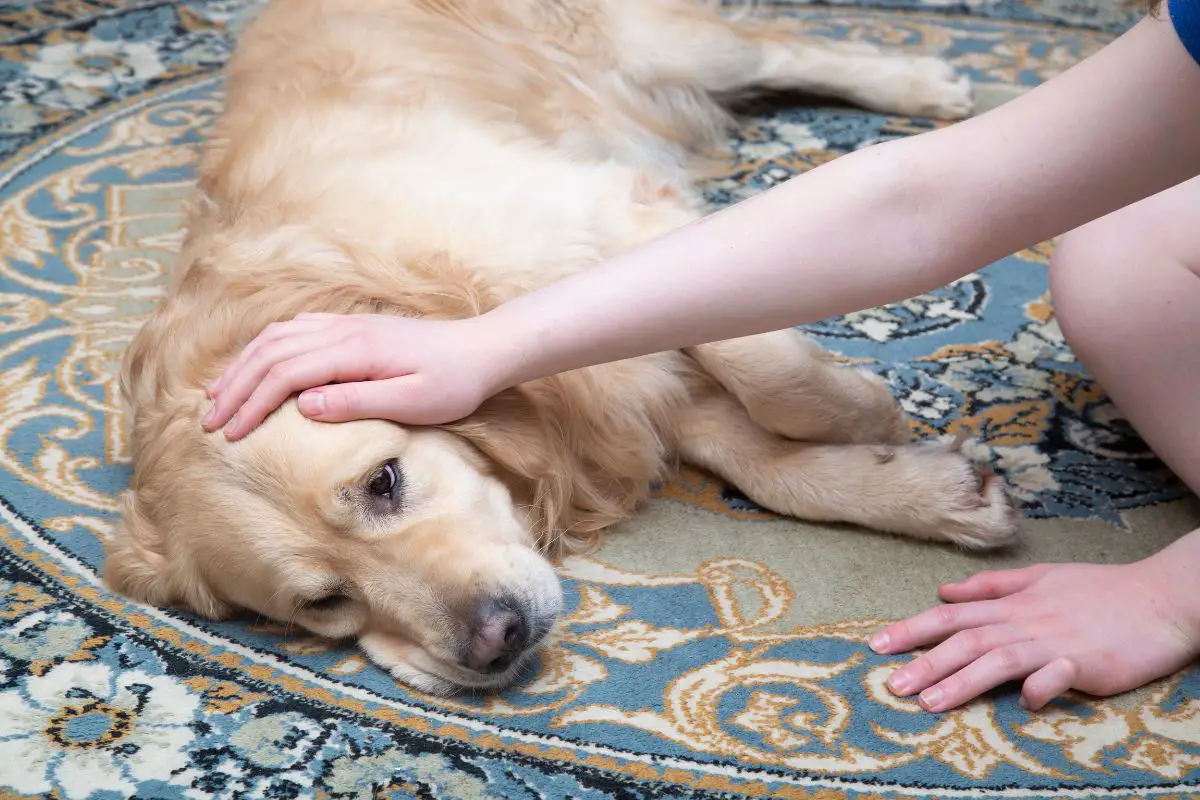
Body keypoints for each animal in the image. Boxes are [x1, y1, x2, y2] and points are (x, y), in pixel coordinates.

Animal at [108, 0, 1017, 695]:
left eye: (383, 481)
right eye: (322, 602)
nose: (495, 639)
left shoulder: (610, 214)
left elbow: (764, 367)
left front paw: (862, 409)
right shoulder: (621, 387)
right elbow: (759, 459)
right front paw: (927, 491)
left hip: (652, 47)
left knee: (775, 44)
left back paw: (925, 83)